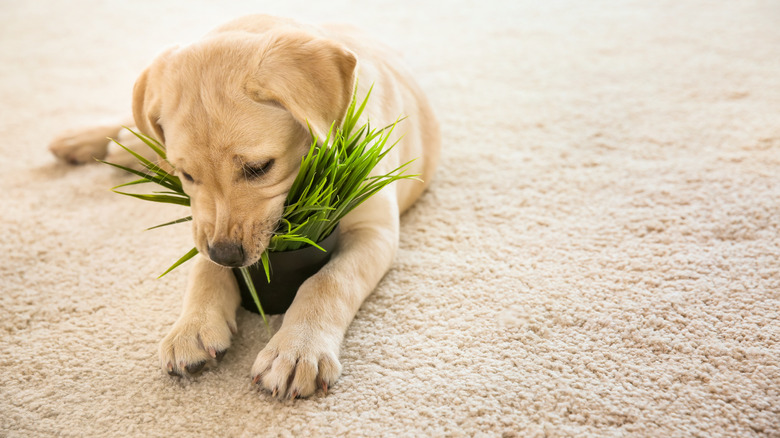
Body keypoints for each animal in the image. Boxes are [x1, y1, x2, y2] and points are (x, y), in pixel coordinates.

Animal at [47, 13, 438, 398]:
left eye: (259, 168)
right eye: (187, 175)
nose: (226, 254)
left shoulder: (374, 230)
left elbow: (328, 281)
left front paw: (297, 349)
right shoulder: (203, 223)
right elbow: (203, 268)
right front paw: (192, 327)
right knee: (137, 121)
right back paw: (87, 140)